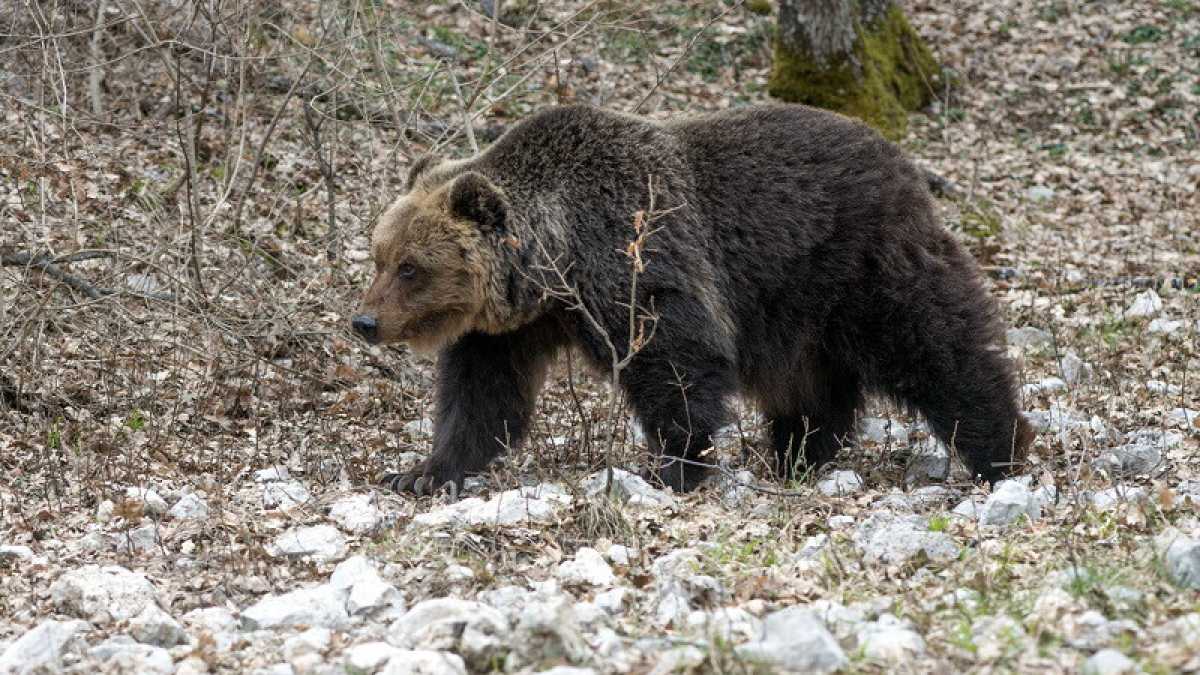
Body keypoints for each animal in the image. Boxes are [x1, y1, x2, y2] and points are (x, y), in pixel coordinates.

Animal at [353, 103, 1034, 496]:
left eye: (411, 267)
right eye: (379, 255)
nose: (364, 320)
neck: (557, 261)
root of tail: (899, 157)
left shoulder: (638, 259)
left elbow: (676, 359)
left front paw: (673, 466)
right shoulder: (510, 326)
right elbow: (481, 396)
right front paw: (421, 472)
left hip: (859, 262)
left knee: (934, 341)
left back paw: (997, 447)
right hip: (796, 305)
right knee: (812, 382)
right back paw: (797, 456)